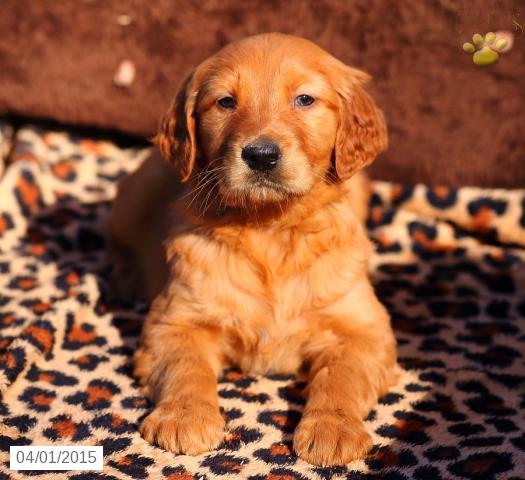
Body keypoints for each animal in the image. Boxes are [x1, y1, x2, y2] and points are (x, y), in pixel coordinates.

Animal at [110, 32, 398, 464]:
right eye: (226, 102)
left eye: (305, 99)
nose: (261, 155)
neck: (270, 228)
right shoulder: (174, 320)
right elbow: (185, 367)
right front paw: (184, 416)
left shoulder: (362, 328)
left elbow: (342, 377)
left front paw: (333, 428)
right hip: (135, 194)